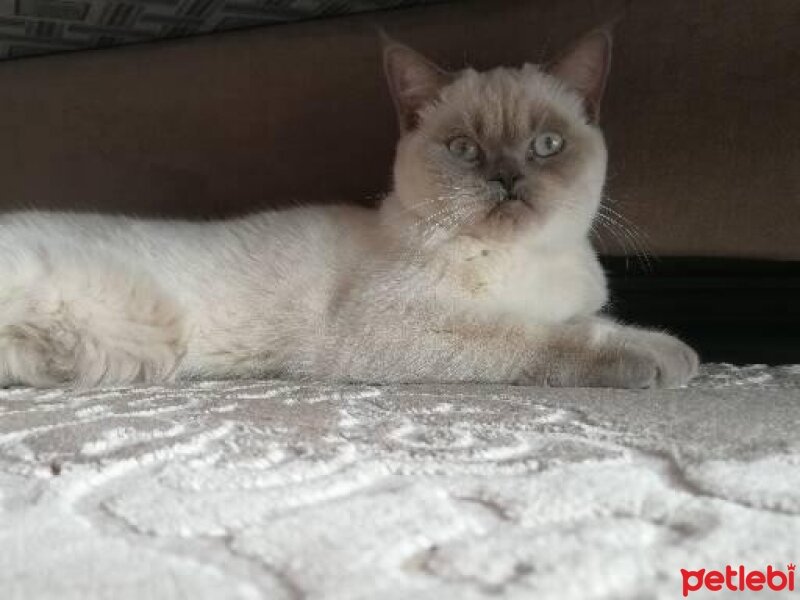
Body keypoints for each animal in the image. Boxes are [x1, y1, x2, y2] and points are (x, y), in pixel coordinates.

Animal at [0, 29, 700, 390]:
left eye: (547, 145)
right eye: (464, 149)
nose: (507, 179)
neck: (528, 261)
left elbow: (585, 320)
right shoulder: (399, 331)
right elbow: (548, 338)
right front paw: (670, 357)